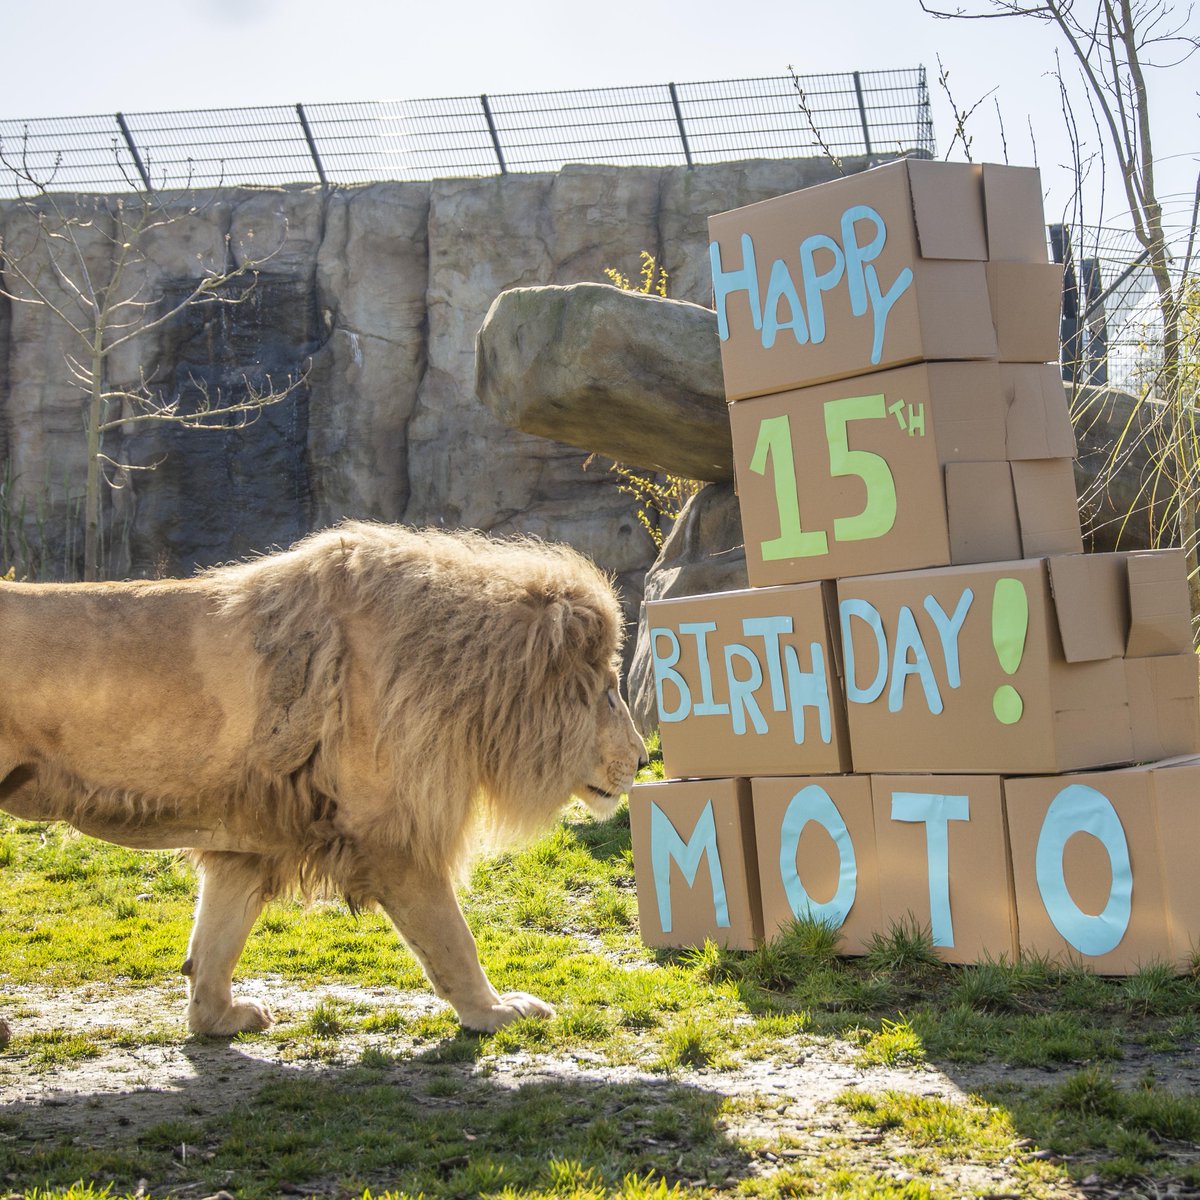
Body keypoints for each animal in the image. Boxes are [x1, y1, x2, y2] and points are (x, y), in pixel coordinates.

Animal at [0, 522, 646, 1035]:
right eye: (609, 692)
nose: (643, 761)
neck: (463, 675)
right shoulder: (392, 832)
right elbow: (451, 938)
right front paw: (494, 1012)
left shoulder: (249, 839)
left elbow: (217, 938)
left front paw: (218, 1019)